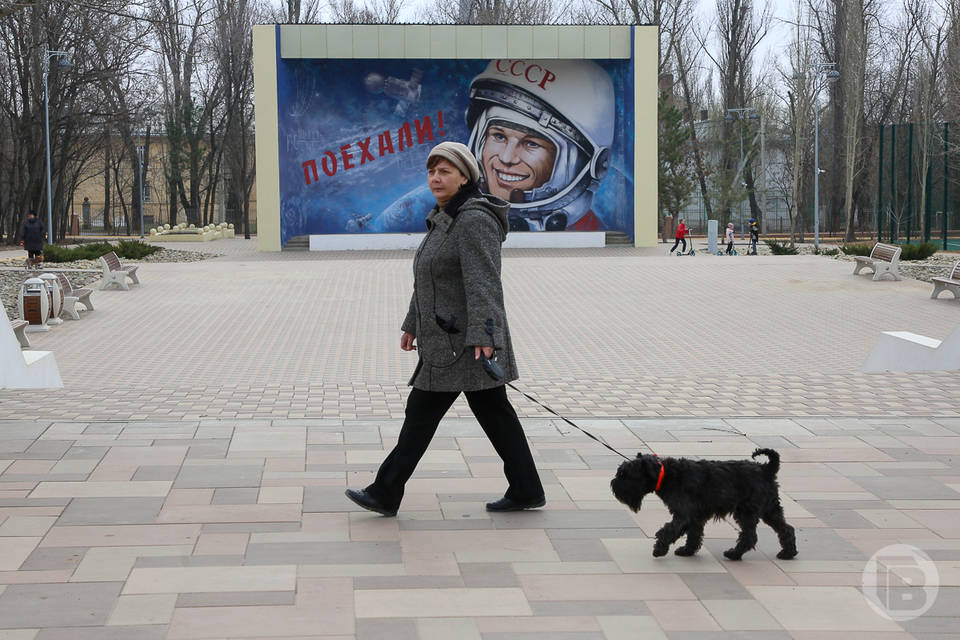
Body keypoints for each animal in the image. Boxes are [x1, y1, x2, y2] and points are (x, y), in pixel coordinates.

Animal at [612, 450, 800, 560]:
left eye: (625, 474)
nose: (613, 485)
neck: (666, 476)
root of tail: (766, 469)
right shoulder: (696, 516)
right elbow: (694, 534)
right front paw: (687, 550)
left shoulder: (683, 514)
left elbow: (668, 530)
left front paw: (659, 549)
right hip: (770, 509)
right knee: (786, 529)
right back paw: (788, 553)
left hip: (747, 511)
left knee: (749, 536)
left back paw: (733, 554)